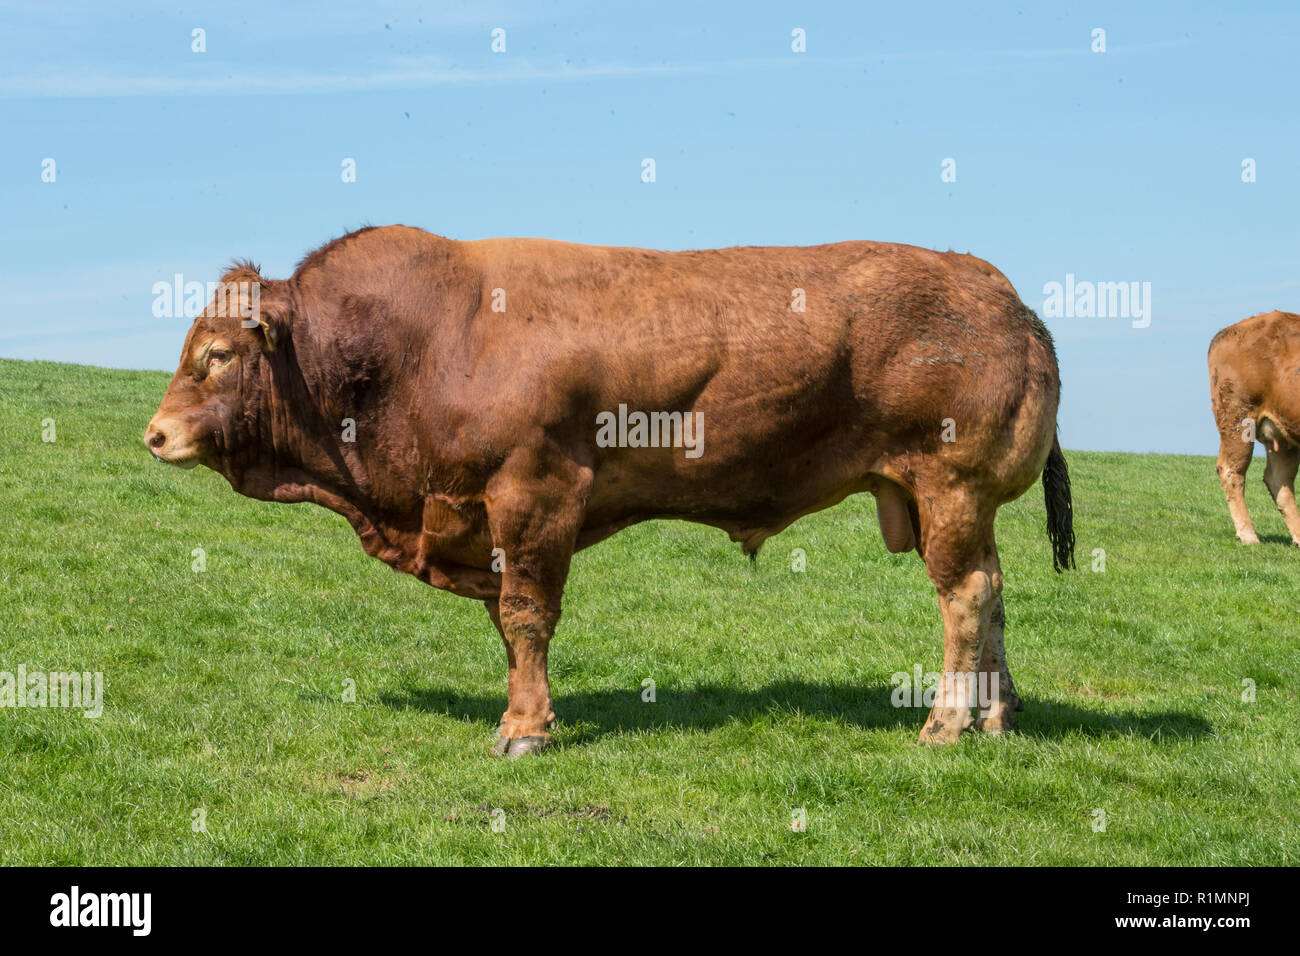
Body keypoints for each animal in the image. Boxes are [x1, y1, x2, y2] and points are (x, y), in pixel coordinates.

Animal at [144, 225, 1075, 756]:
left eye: (218, 354)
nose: (154, 433)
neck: (420, 343)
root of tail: (996, 288)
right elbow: (509, 621)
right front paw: (531, 711)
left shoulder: (535, 493)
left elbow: (527, 615)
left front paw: (524, 729)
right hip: (954, 503)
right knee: (994, 592)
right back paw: (998, 719)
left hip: (950, 488)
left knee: (965, 596)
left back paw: (946, 724)